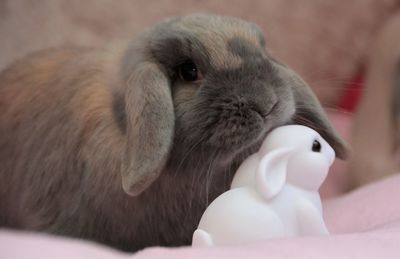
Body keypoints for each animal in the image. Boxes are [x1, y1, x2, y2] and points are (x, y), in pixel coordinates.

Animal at [192, 126, 332, 248]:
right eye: (316, 146)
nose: (333, 152)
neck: (294, 185)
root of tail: (208, 237)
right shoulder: (306, 209)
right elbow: (316, 226)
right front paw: (328, 235)